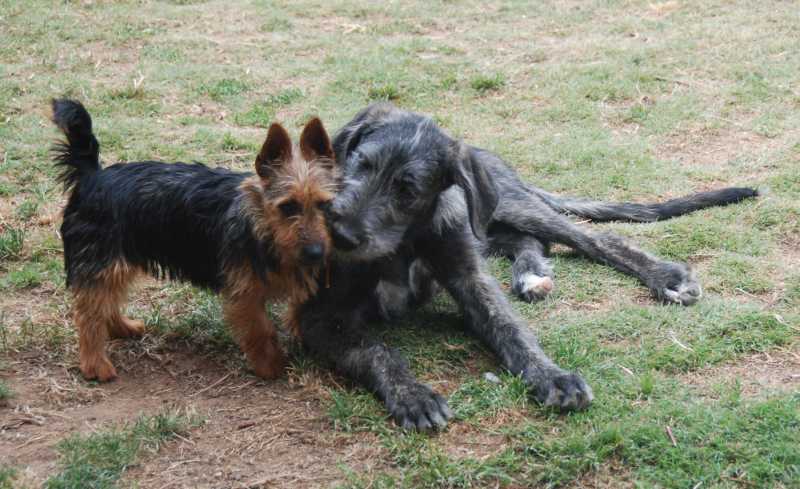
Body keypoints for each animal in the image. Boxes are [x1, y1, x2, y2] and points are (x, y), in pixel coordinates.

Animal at [51, 99, 337, 382]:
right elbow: (261, 331)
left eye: (324, 204)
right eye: (288, 206)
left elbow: (298, 310)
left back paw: (122, 327)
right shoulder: (245, 294)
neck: (262, 227)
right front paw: (271, 366)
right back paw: (95, 364)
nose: (316, 252)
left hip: (115, 262)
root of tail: (92, 176)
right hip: (101, 261)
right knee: (89, 315)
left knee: (107, 301)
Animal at [293, 103, 757, 431]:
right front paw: (413, 395)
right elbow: (378, 350)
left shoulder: (468, 273)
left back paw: (664, 276)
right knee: (530, 242)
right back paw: (532, 274)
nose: (340, 234)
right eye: (360, 164)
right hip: (488, 221)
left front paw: (551, 375)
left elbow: (511, 329)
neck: (402, 242)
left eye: (408, 190)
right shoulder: (316, 317)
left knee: (590, 238)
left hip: (510, 205)